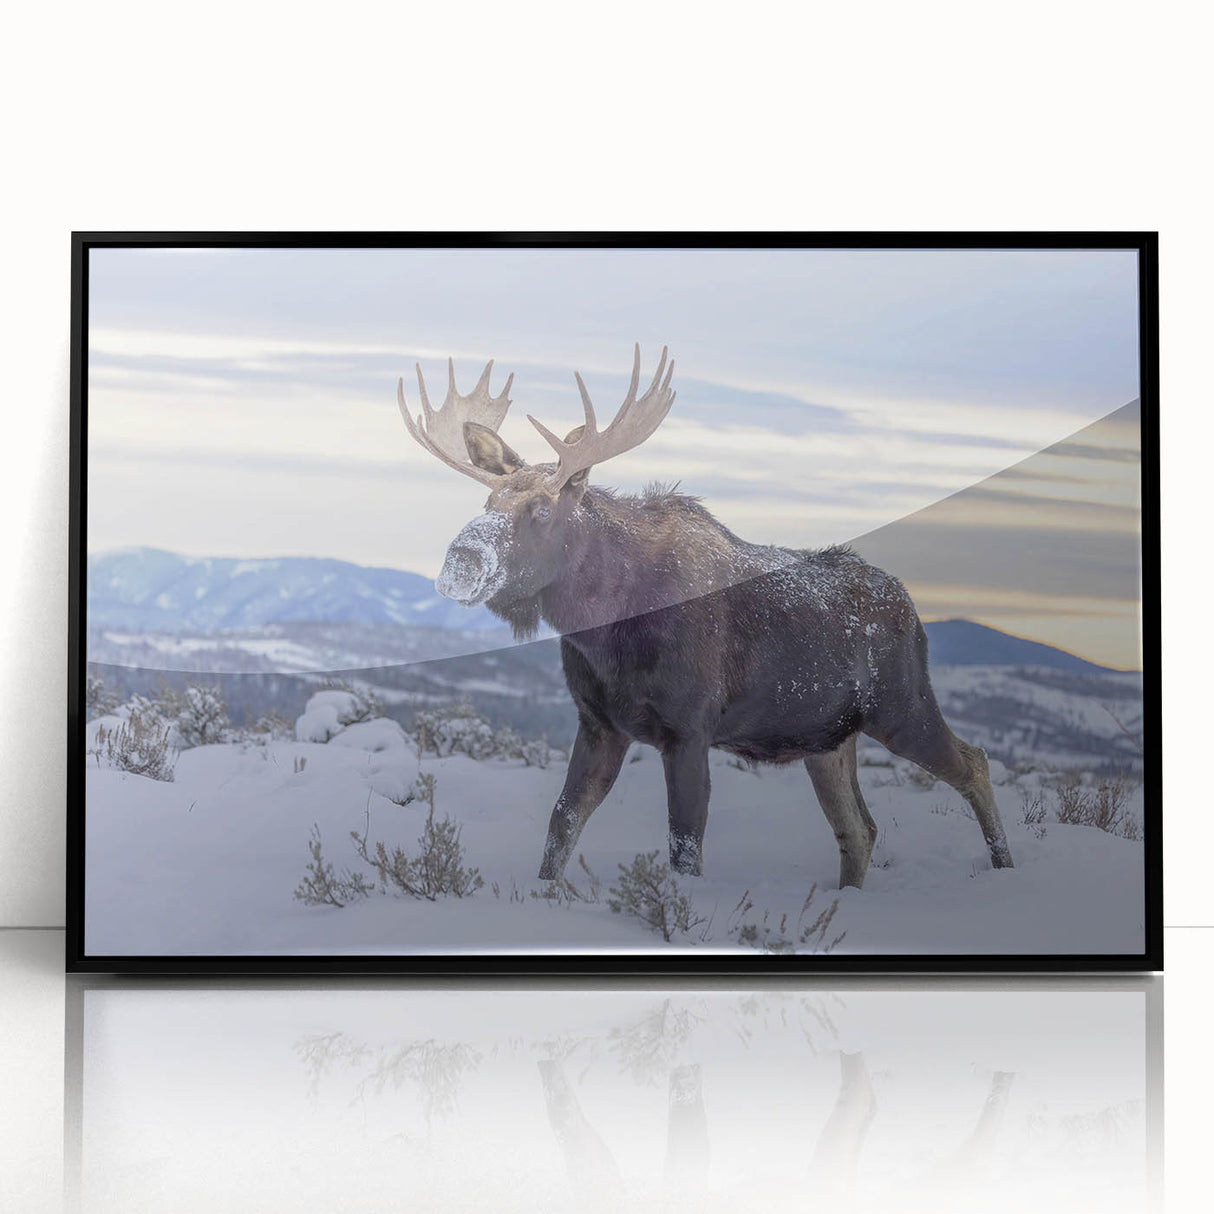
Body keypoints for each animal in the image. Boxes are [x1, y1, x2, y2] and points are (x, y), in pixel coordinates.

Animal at [396, 346, 1012, 889]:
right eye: (487, 503)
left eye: (543, 508)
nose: (461, 561)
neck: (604, 624)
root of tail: (912, 609)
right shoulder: (599, 723)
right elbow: (561, 825)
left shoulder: (689, 729)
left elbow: (685, 847)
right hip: (828, 740)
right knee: (860, 829)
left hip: (901, 707)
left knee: (975, 762)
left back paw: (1005, 869)